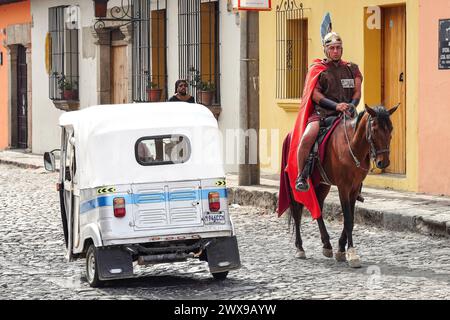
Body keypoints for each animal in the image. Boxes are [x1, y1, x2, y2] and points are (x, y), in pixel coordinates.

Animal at [286, 103, 400, 268]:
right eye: (374, 129)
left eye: (390, 128)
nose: (383, 162)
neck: (352, 145)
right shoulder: (343, 187)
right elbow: (348, 220)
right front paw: (352, 254)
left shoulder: (354, 188)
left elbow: (350, 219)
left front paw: (341, 249)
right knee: (297, 211)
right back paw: (300, 248)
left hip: (322, 184)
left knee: (318, 208)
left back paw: (327, 245)